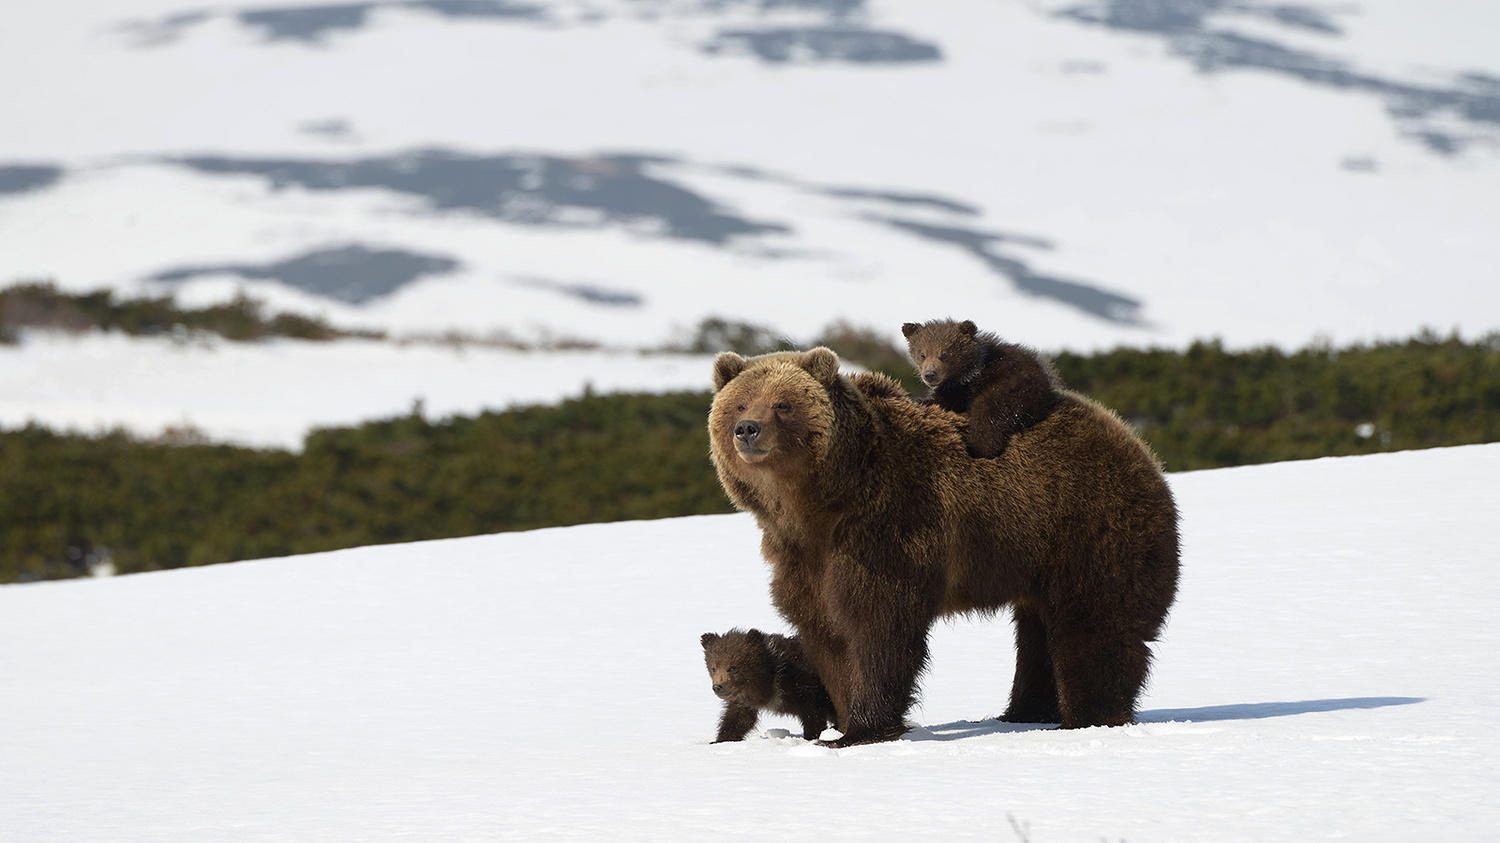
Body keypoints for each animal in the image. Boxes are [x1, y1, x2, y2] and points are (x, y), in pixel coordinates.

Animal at [699, 627, 840, 738]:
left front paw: (812, 736)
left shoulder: (804, 685)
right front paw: (720, 739)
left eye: (733, 667)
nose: (718, 687)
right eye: (713, 668)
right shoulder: (744, 699)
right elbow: (738, 718)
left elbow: (813, 714)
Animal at [894, 316, 1062, 459]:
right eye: (922, 354)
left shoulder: (966, 386)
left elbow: (947, 400)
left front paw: (922, 400)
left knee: (989, 414)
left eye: (944, 354)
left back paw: (976, 448)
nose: (930, 374)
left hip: (1012, 390)